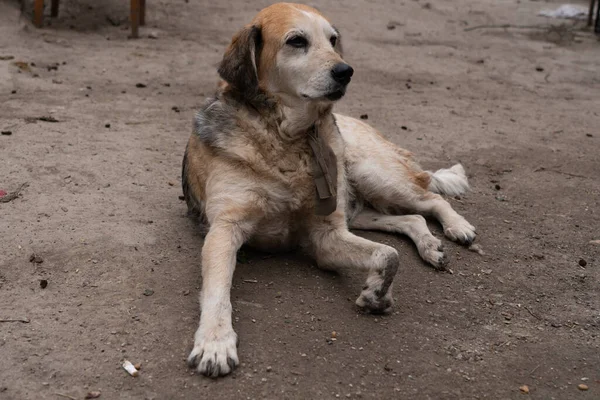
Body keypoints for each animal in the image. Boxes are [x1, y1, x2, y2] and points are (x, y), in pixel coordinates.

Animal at [180, 3, 476, 376]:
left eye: (333, 40)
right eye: (296, 41)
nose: (346, 71)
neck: (289, 137)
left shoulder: (326, 233)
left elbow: (388, 256)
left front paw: (376, 293)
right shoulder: (226, 229)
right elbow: (217, 290)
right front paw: (215, 343)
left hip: (375, 177)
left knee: (431, 198)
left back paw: (458, 228)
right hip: (358, 208)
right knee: (412, 219)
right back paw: (430, 246)